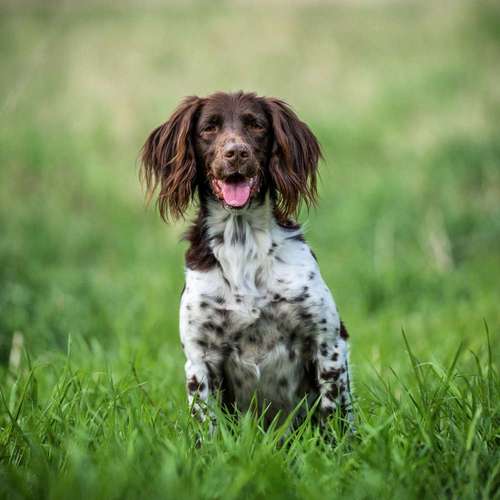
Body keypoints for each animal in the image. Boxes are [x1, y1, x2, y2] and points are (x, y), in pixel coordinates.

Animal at [139, 91, 354, 430]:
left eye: (256, 126)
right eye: (209, 128)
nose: (236, 153)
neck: (242, 243)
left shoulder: (327, 344)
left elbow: (332, 420)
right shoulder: (200, 358)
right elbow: (208, 427)